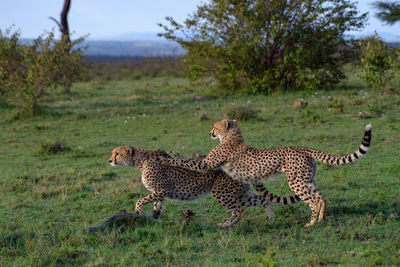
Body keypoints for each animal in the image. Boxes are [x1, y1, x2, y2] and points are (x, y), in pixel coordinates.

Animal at [109, 147, 300, 228]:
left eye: (117, 153)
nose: (110, 160)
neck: (139, 162)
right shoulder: (160, 192)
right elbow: (157, 206)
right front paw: (155, 218)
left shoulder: (164, 189)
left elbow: (141, 200)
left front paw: (139, 211)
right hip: (241, 194)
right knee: (263, 200)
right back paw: (271, 217)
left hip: (221, 191)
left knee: (239, 210)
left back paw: (225, 225)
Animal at [159, 120, 372, 227]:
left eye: (216, 126)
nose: (210, 133)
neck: (231, 137)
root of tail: (302, 147)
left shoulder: (206, 164)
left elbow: (185, 161)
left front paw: (165, 159)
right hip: (306, 180)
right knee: (321, 197)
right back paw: (320, 219)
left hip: (296, 182)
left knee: (313, 200)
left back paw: (311, 223)